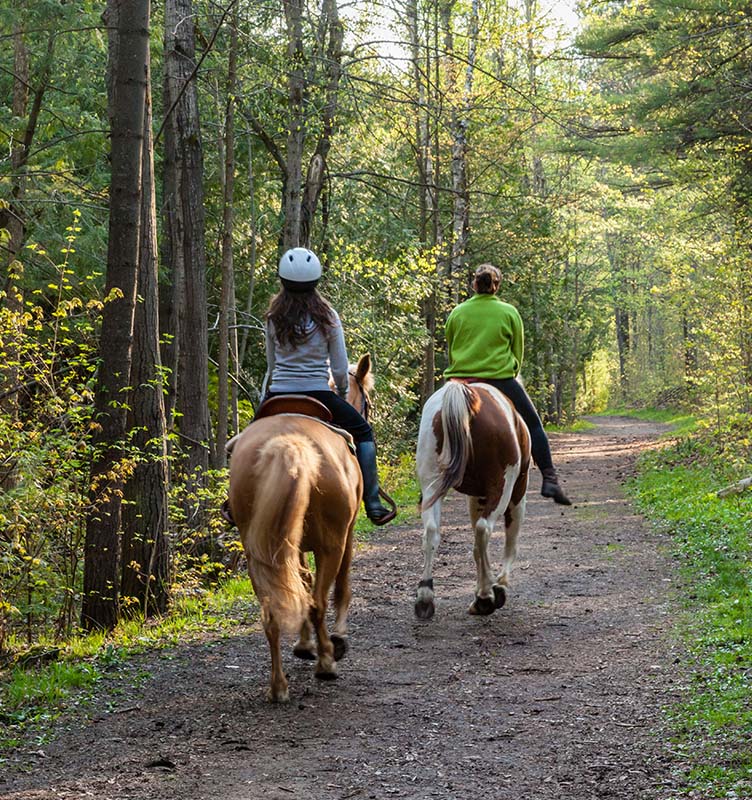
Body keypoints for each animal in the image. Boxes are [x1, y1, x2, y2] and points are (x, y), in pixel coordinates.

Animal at [226, 354, 374, 700]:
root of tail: (288, 442)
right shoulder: (346, 535)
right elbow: (340, 586)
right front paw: (336, 639)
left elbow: (300, 582)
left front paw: (304, 643)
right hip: (331, 543)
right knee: (319, 600)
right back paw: (327, 662)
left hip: (258, 550)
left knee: (272, 611)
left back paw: (278, 686)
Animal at [414, 382, 532, 620]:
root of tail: (463, 393)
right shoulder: (517, 493)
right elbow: (510, 540)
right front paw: (499, 586)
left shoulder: (476, 497)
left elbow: (477, 548)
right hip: (502, 486)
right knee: (484, 529)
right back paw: (487, 595)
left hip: (431, 483)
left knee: (431, 532)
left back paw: (425, 597)